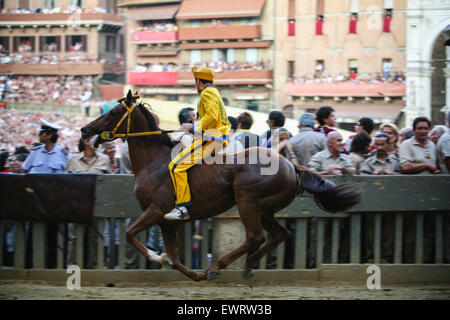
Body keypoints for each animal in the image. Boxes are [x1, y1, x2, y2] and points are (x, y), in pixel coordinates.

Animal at [81, 90, 362, 280]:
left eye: (112, 112)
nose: (85, 129)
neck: (154, 161)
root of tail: (292, 166)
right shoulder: (165, 221)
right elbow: (174, 256)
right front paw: (193, 274)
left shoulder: (157, 210)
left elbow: (131, 235)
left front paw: (157, 256)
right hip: (266, 208)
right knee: (279, 234)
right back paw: (247, 266)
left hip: (247, 200)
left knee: (255, 236)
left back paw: (218, 266)